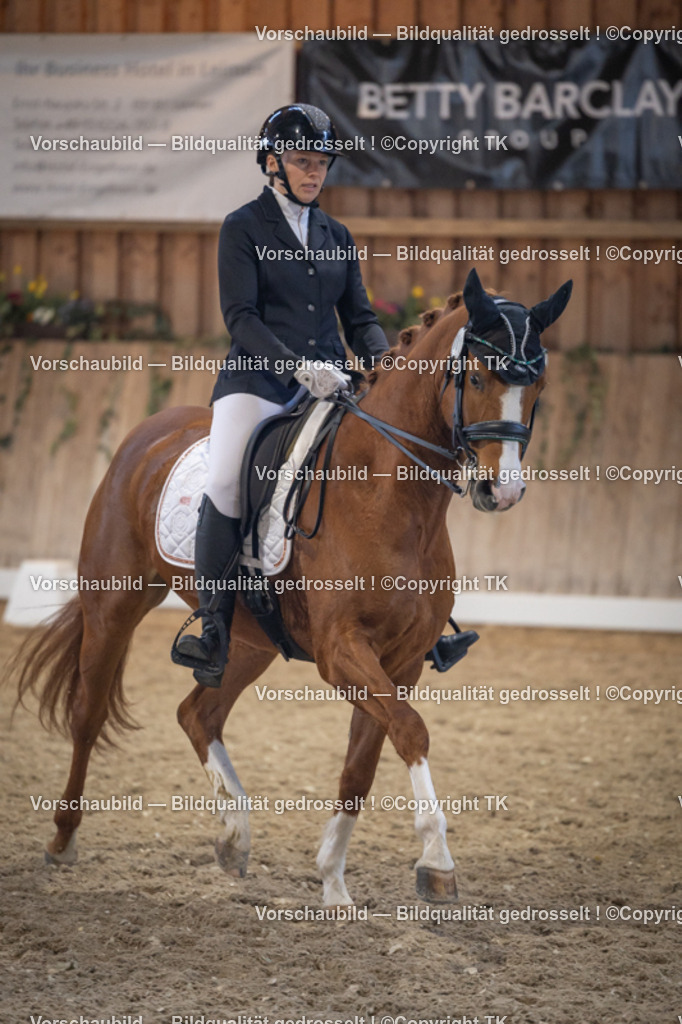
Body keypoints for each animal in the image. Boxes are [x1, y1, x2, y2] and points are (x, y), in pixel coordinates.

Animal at [11, 268, 571, 908]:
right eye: (476, 377)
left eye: (540, 385)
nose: (502, 492)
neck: (389, 498)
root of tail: (148, 433)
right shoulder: (341, 651)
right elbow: (410, 729)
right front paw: (436, 860)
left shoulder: (399, 661)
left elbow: (363, 765)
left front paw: (333, 881)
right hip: (114, 604)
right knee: (88, 711)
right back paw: (62, 840)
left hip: (246, 641)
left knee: (197, 713)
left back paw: (233, 836)